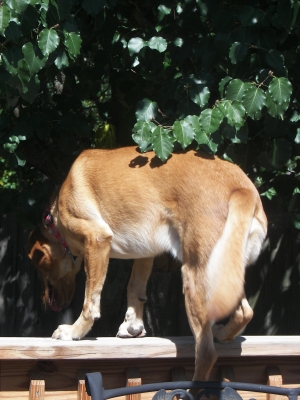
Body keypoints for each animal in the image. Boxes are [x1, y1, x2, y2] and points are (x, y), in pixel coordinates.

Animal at [27, 147, 268, 382]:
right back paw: (222, 335)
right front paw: (133, 326)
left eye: (42, 269)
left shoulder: (97, 240)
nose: (45, 301)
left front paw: (74, 332)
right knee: (244, 312)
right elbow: (135, 288)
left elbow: (91, 301)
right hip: (224, 273)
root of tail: (242, 189)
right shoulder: (145, 252)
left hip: (195, 277)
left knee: (206, 353)